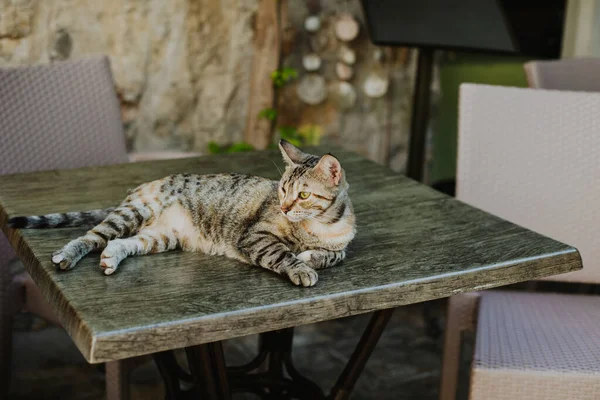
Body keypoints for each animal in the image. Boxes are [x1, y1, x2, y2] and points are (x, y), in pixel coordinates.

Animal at [9, 141, 354, 288]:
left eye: (303, 194)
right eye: (282, 190)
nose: (283, 207)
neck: (319, 227)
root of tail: (143, 185)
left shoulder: (341, 246)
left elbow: (336, 255)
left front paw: (312, 257)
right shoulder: (255, 236)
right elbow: (283, 253)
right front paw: (302, 267)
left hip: (161, 236)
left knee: (119, 244)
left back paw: (110, 260)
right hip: (133, 213)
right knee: (90, 237)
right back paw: (67, 255)